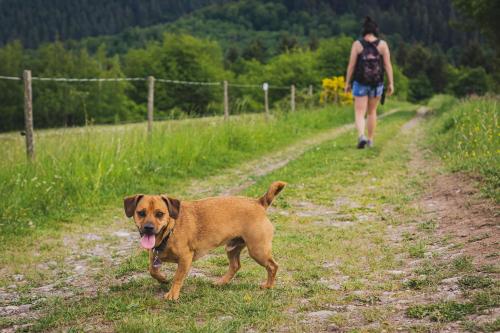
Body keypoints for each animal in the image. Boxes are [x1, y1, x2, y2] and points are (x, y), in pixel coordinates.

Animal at [124, 180, 286, 300]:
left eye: (159, 214)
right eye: (141, 213)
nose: (148, 228)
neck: (169, 231)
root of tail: (258, 203)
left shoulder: (185, 258)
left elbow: (177, 277)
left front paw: (173, 293)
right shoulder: (154, 255)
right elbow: (152, 270)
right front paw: (162, 278)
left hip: (257, 250)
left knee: (273, 266)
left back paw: (268, 286)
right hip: (232, 248)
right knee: (235, 265)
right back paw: (221, 282)